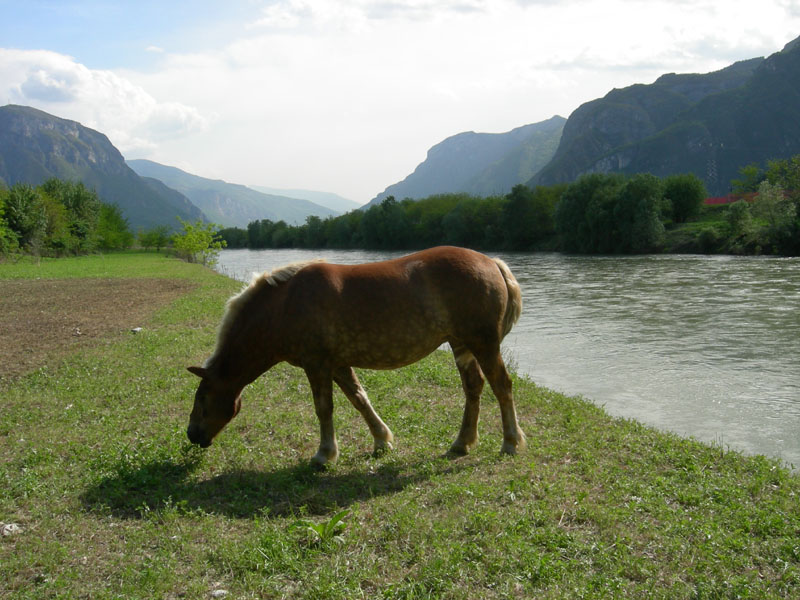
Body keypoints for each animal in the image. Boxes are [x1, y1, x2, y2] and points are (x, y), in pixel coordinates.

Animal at [187, 244, 524, 464]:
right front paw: (382, 440)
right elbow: (360, 399)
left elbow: (324, 408)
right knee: (474, 387)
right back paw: (462, 443)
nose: (192, 435)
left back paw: (510, 441)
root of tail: (491, 261)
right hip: (461, 344)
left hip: (483, 344)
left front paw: (324, 454)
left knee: (502, 386)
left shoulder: (316, 365)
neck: (285, 305)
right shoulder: (337, 364)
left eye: (202, 399)